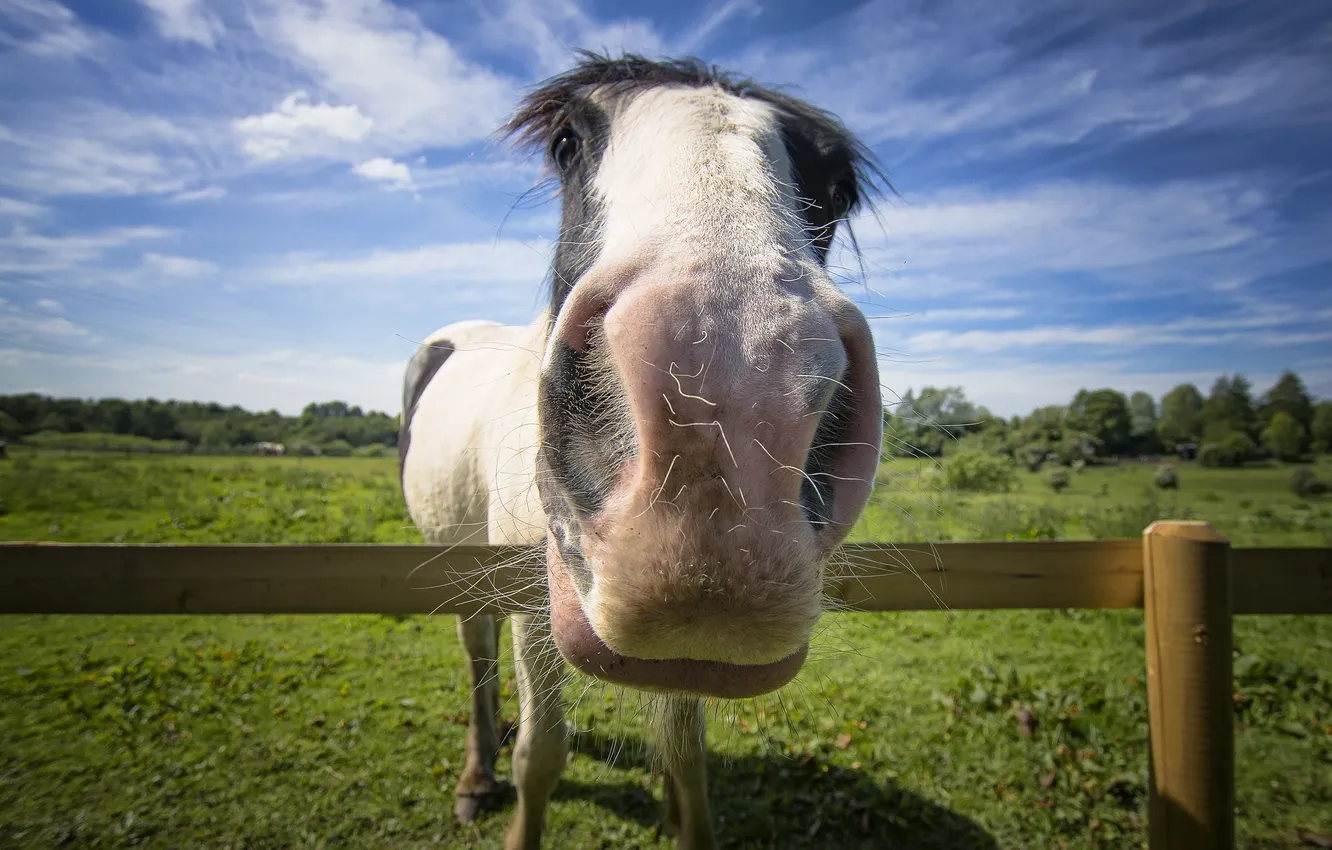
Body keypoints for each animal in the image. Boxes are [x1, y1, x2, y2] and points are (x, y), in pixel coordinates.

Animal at [399, 52, 887, 850]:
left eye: (838, 187)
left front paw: (676, 808)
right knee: (476, 662)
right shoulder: (534, 614)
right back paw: (476, 776)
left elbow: (688, 757)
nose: (730, 400)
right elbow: (542, 754)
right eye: (566, 143)